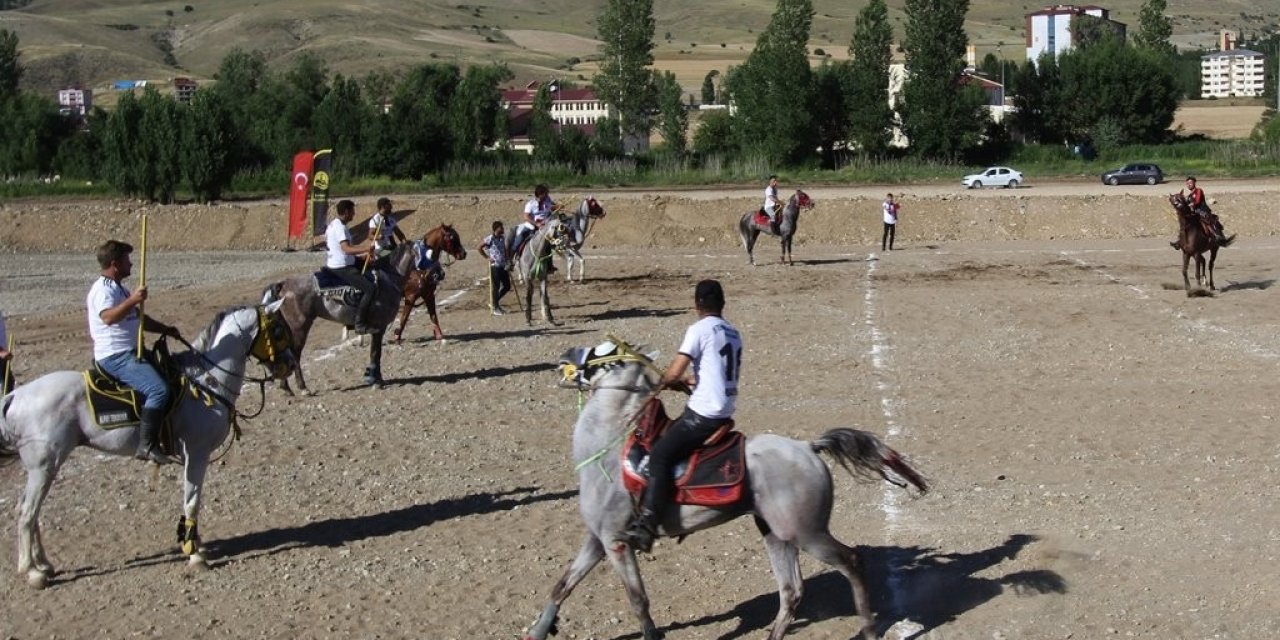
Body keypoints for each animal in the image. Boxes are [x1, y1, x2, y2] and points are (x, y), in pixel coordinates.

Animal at [1, 299, 294, 586]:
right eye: (278, 329)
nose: (290, 365)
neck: (205, 382)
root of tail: (15, 395)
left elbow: (190, 499)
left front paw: (194, 543)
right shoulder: (197, 452)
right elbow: (192, 500)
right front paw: (195, 554)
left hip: (44, 468)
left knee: (29, 511)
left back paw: (44, 564)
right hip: (44, 465)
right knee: (27, 512)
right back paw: (32, 571)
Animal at [261, 240, 414, 389]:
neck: (389, 278)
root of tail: (284, 284)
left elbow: (376, 353)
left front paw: (377, 379)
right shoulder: (379, 327)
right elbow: (375, 353)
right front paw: (376, 380)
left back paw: (286, 387)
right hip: (299, 327)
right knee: (295, 354)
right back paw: (302, 387)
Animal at [522, 337, 931, 637]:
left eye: (604, 352)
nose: (566, 354)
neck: (609, 448)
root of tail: (807, 447)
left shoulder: (618, 543)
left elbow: (639, 602)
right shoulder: (598, 539)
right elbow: (563, 585)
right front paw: (539, 630)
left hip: (808, 533)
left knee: (851, 562)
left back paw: (869, 629)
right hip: (777, 534)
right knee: (791, 590)